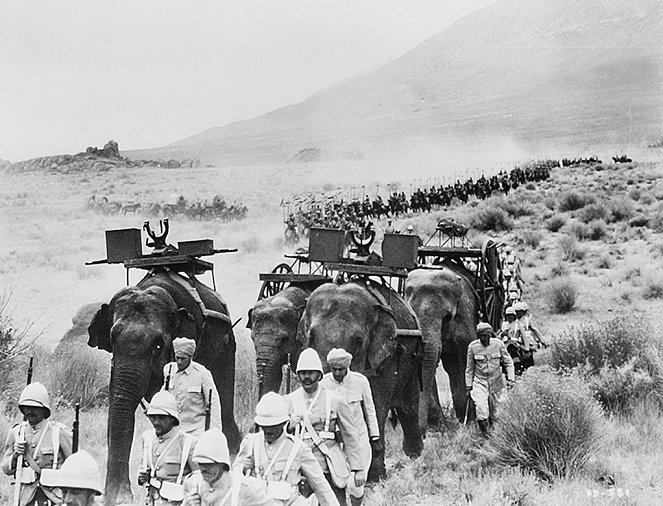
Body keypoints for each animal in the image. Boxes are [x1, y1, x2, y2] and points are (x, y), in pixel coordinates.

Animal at [88, 270, 241, 506]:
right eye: (112, 340)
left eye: (158, 345)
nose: (110, 497)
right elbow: (117, 403)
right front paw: (119, 497)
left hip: (227, 344)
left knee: (223, 390)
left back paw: (232, 450)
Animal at [296, 278, 422, 480]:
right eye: (311, 336)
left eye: (358, 340)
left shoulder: (386, 357)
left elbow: (375, 405)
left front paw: (374, 478)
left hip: (412, 359)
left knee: (409, 408)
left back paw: (414, 457)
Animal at [408, 264, 480, 430]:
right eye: (411, 314)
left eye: (447, 317)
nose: (423, 432)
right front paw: (440, 427)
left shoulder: (464, 320)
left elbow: (462, 365)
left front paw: (468, 424)